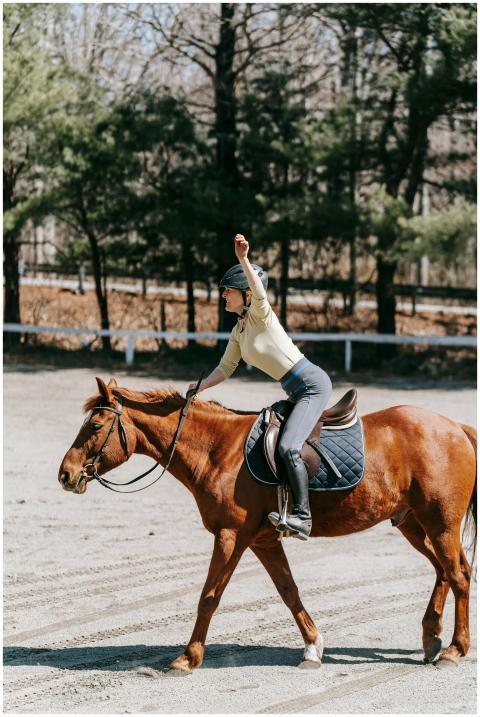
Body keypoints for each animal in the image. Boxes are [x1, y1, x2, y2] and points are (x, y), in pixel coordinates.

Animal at [58, 377, 476, 675]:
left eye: (95, 426)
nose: (65, 474)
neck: (217, 450)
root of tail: (455, 427)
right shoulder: (263, 541)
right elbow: (289, 591)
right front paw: (312, 648)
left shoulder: (231, 536)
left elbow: (209, 597)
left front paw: (187, 658)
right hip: (415, 524)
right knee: (445, 570)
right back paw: (431, 637)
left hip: (439, 523)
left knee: (458, 574)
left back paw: (454, 649)